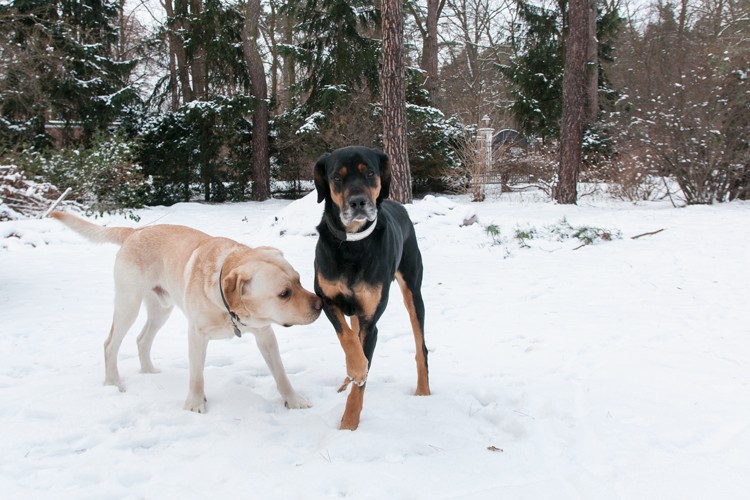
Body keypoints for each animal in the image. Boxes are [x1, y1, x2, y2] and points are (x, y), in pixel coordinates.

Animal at [51, 210, 322, 410]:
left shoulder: (265, 333)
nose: (320, 304)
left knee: (142, 339)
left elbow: (281, 373)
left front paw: (294, 401)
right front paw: (194, 405)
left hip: (161, 309)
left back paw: (149, 372)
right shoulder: (197, 334)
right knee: (110, 344)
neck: (227, 306)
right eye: (284, 293)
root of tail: (136, 231)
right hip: (129, 304)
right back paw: (113, 384)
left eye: (299, 280)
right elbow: (196, 376)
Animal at [312, 145, 428, 430]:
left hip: (413, 292)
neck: (352, 245)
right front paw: (355, 368)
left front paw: (348, 426)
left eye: (371, 173)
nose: (358, 202)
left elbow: (361, 382)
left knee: (421, 348)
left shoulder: (370, 318)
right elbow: (346, 337)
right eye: (337, 177)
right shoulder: (325, 298)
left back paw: (423, 392)